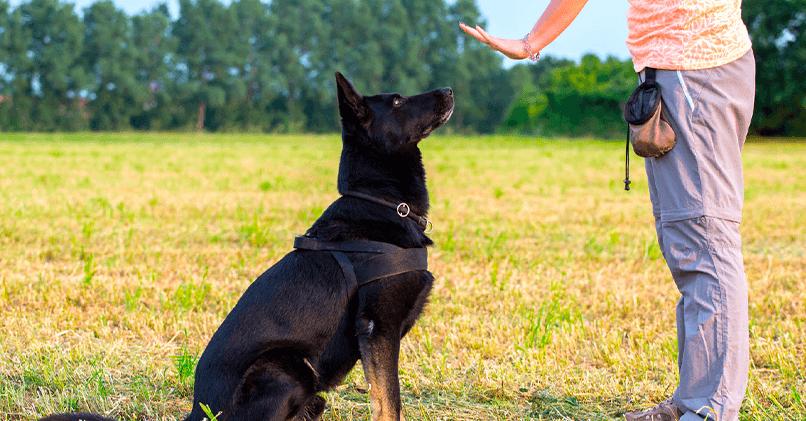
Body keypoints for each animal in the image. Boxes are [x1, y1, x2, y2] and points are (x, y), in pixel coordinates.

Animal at [42, 73, 454, 420]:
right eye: (398, 101)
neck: (380, 201)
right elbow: (389, 403)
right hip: (290, 367)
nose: (449, 90)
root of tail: (198, 412)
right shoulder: (377, 328)